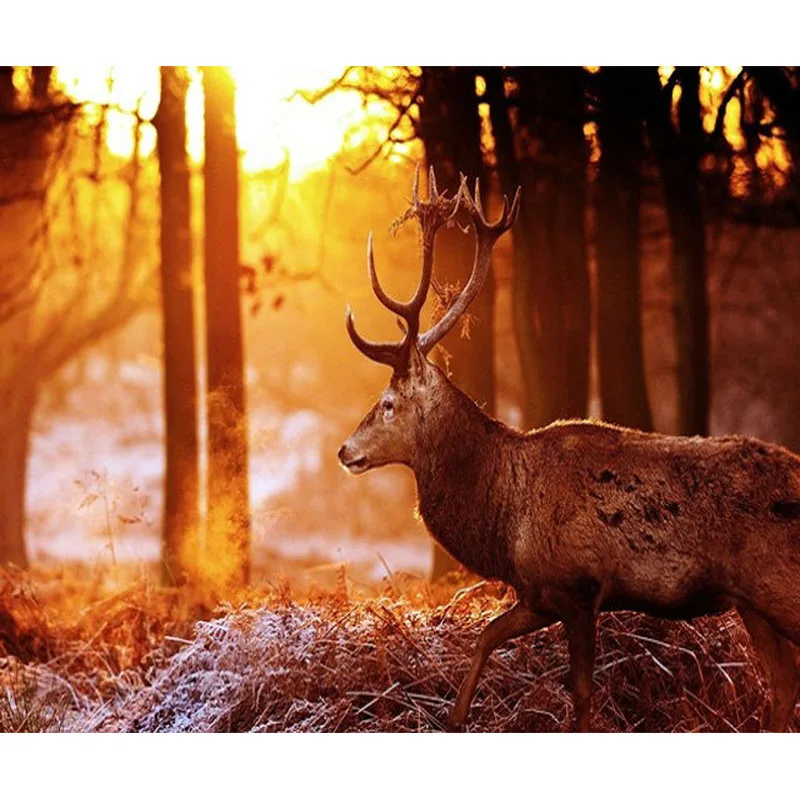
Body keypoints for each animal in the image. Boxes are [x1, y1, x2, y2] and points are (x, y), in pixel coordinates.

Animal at [338, 166, 800, 732]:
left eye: (386, 403)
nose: (344, 450)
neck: (505, 516)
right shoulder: (538, 591)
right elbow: (486, 636)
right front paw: (455, 717)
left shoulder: (578, 585)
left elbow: (581, 693)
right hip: (752, 602)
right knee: (783, 682)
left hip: (780, 583)